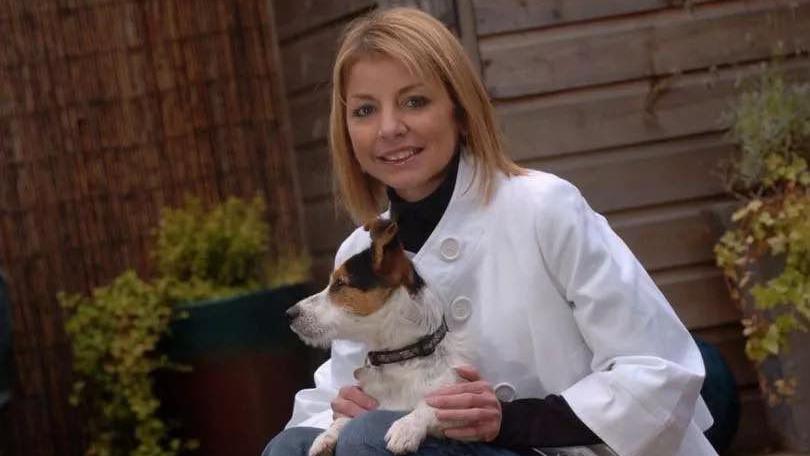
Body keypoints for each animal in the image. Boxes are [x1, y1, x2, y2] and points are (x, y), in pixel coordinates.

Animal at [288, 217, 470, 456]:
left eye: (340, 283)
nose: (289, 313)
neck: (399, 359)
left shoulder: (455, 398)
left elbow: (429, 406)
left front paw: (406, 427)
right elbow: (347, 417)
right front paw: (326, 436)